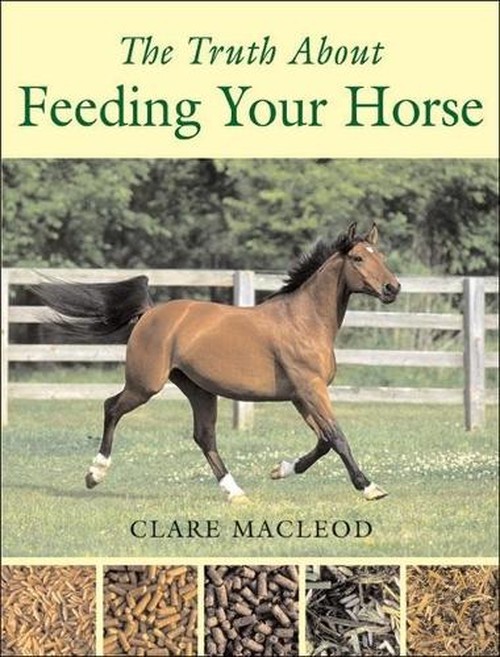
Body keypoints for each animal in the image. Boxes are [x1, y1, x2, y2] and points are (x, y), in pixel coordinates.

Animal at [34, 222, 400, 502]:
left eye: (381, 256)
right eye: (357, 258)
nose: (392, 287)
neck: (303, 321)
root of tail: (150, 313)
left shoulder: (301, 395)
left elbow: (324, 440)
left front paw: (279, 470)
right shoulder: (310, 390)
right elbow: (337, 437)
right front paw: (370, 488)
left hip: (199, 389)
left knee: (204, 436)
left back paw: (234, 492)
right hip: (145, 384)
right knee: (111, 407)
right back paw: (94, 474)